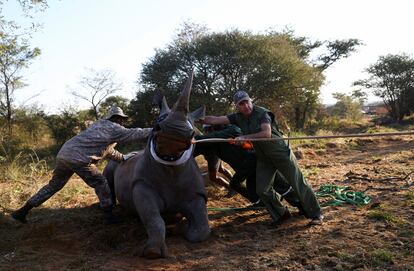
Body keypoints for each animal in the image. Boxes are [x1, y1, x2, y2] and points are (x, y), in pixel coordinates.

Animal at [102, 71, 209, 260]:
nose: (176, 132)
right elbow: (153, 218)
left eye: (193, 132)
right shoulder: (141, 185)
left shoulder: (197, 193)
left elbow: (203, 227)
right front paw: (152, 252)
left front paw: (182, 228)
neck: (171, 162)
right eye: (157, 123)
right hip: (113, 164)